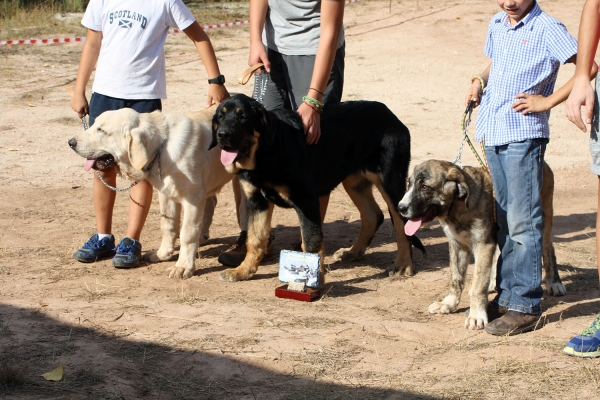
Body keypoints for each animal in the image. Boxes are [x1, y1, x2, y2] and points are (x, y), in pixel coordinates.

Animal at [211, 94, 422, 282]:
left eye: (243, 116)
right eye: (220, 117)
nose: (222, 135)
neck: (266, 152)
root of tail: (391, 115)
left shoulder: (305, 199)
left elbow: (311, 243)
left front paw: (313, 282)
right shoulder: (257, 201)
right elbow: (255, 238)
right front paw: (243, 271)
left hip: (390, 181)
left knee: (402, 222)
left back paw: (403, 265)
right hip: (355, 183)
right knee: (373, 215)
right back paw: (352, 252)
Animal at [398, 159, 564, 332]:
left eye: (425, 187)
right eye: (409, 184)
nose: (400, 208)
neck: (458, 206)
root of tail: (543, 163)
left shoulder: (483, 244)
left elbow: (478, 284)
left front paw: (476, 315)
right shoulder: (458, 245)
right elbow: (456, 278)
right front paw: (448, 303)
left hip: (543, 219)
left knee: (548, 249)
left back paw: (554, 282)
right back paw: (492, 283)